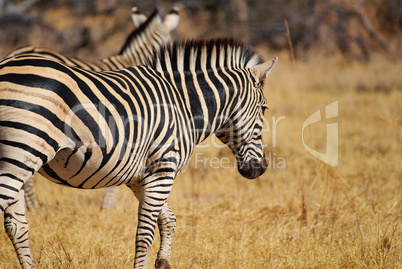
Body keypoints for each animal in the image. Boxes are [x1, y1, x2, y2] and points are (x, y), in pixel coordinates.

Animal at [0, 38, 276, 268]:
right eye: (264, 108)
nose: (260, 169)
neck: (183, 105)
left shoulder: (139, 176)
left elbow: (168, 219)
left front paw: (163, 262)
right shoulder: (163, 169)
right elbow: (145, 233)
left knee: (17, 226)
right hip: (20, 155)